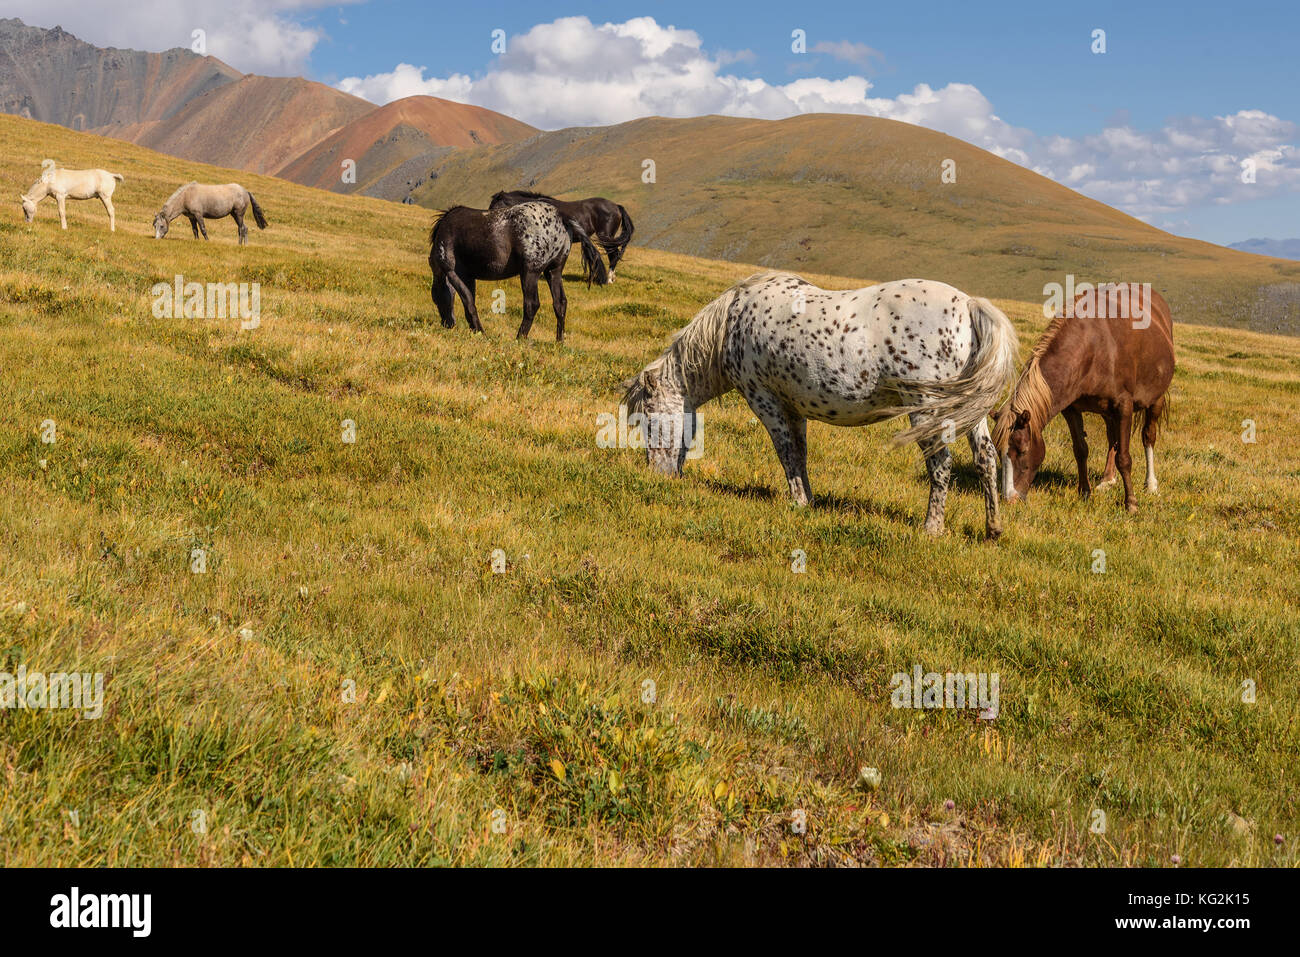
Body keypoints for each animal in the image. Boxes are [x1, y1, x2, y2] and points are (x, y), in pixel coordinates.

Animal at [428, 201, 607, 342]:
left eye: (435, 299)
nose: (447, 324)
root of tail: (561, 215)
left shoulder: (452, 272)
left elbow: (468, 302)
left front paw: (480, 332)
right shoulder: (469, 277)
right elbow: (469, 301)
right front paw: (475, 330)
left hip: (530, 273)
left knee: (532, 304)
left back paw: (520, 337)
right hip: (553, 272)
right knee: (560, 303)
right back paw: (559, 341)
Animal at [622, 272, 1020, 539]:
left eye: (649, 419)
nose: (659, 476)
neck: (732, 325)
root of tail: (968, 305)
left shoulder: (763, 399)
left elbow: (785, 452)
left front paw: (797, 502)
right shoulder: (794, 407)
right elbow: (799, 453)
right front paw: (808, 500)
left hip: (926, 409)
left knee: (940, 464)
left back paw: (931, 528)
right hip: (968, 410)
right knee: (985, 458)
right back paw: (993, 528)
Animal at [992, 283, 1174, 513]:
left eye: (1022, 450)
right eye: (997, 451)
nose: (1010, 498)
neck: (1093, 349)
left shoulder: (1123, 406)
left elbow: (1125, 457)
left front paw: (1131, 503)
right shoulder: (1071, 409)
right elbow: (1080, 450)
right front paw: (1084, 492)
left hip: (1155, 399)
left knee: (1148, 436)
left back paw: (1150, 484)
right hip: (1107, 413)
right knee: (1112, 439)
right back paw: (1107, 479)